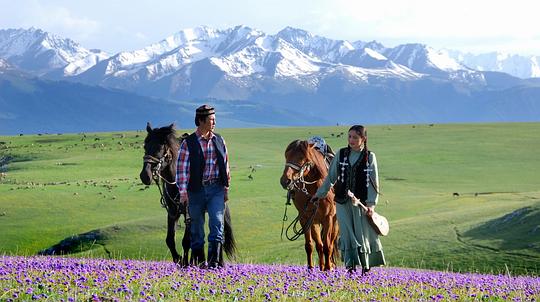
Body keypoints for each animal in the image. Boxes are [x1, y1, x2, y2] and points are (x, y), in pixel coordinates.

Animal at [280, 140, 340, 272]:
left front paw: (328, 268)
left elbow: (328, 245)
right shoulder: (305, 218)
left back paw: (330, 265)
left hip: (335, 221)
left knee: (331, 242)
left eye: (301, 157)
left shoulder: (328, 218)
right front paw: (311, 269)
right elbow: (310, 245)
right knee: (319, 244)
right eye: (286, 156)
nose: (285, 181)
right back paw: (321, 266)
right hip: (315, 221)